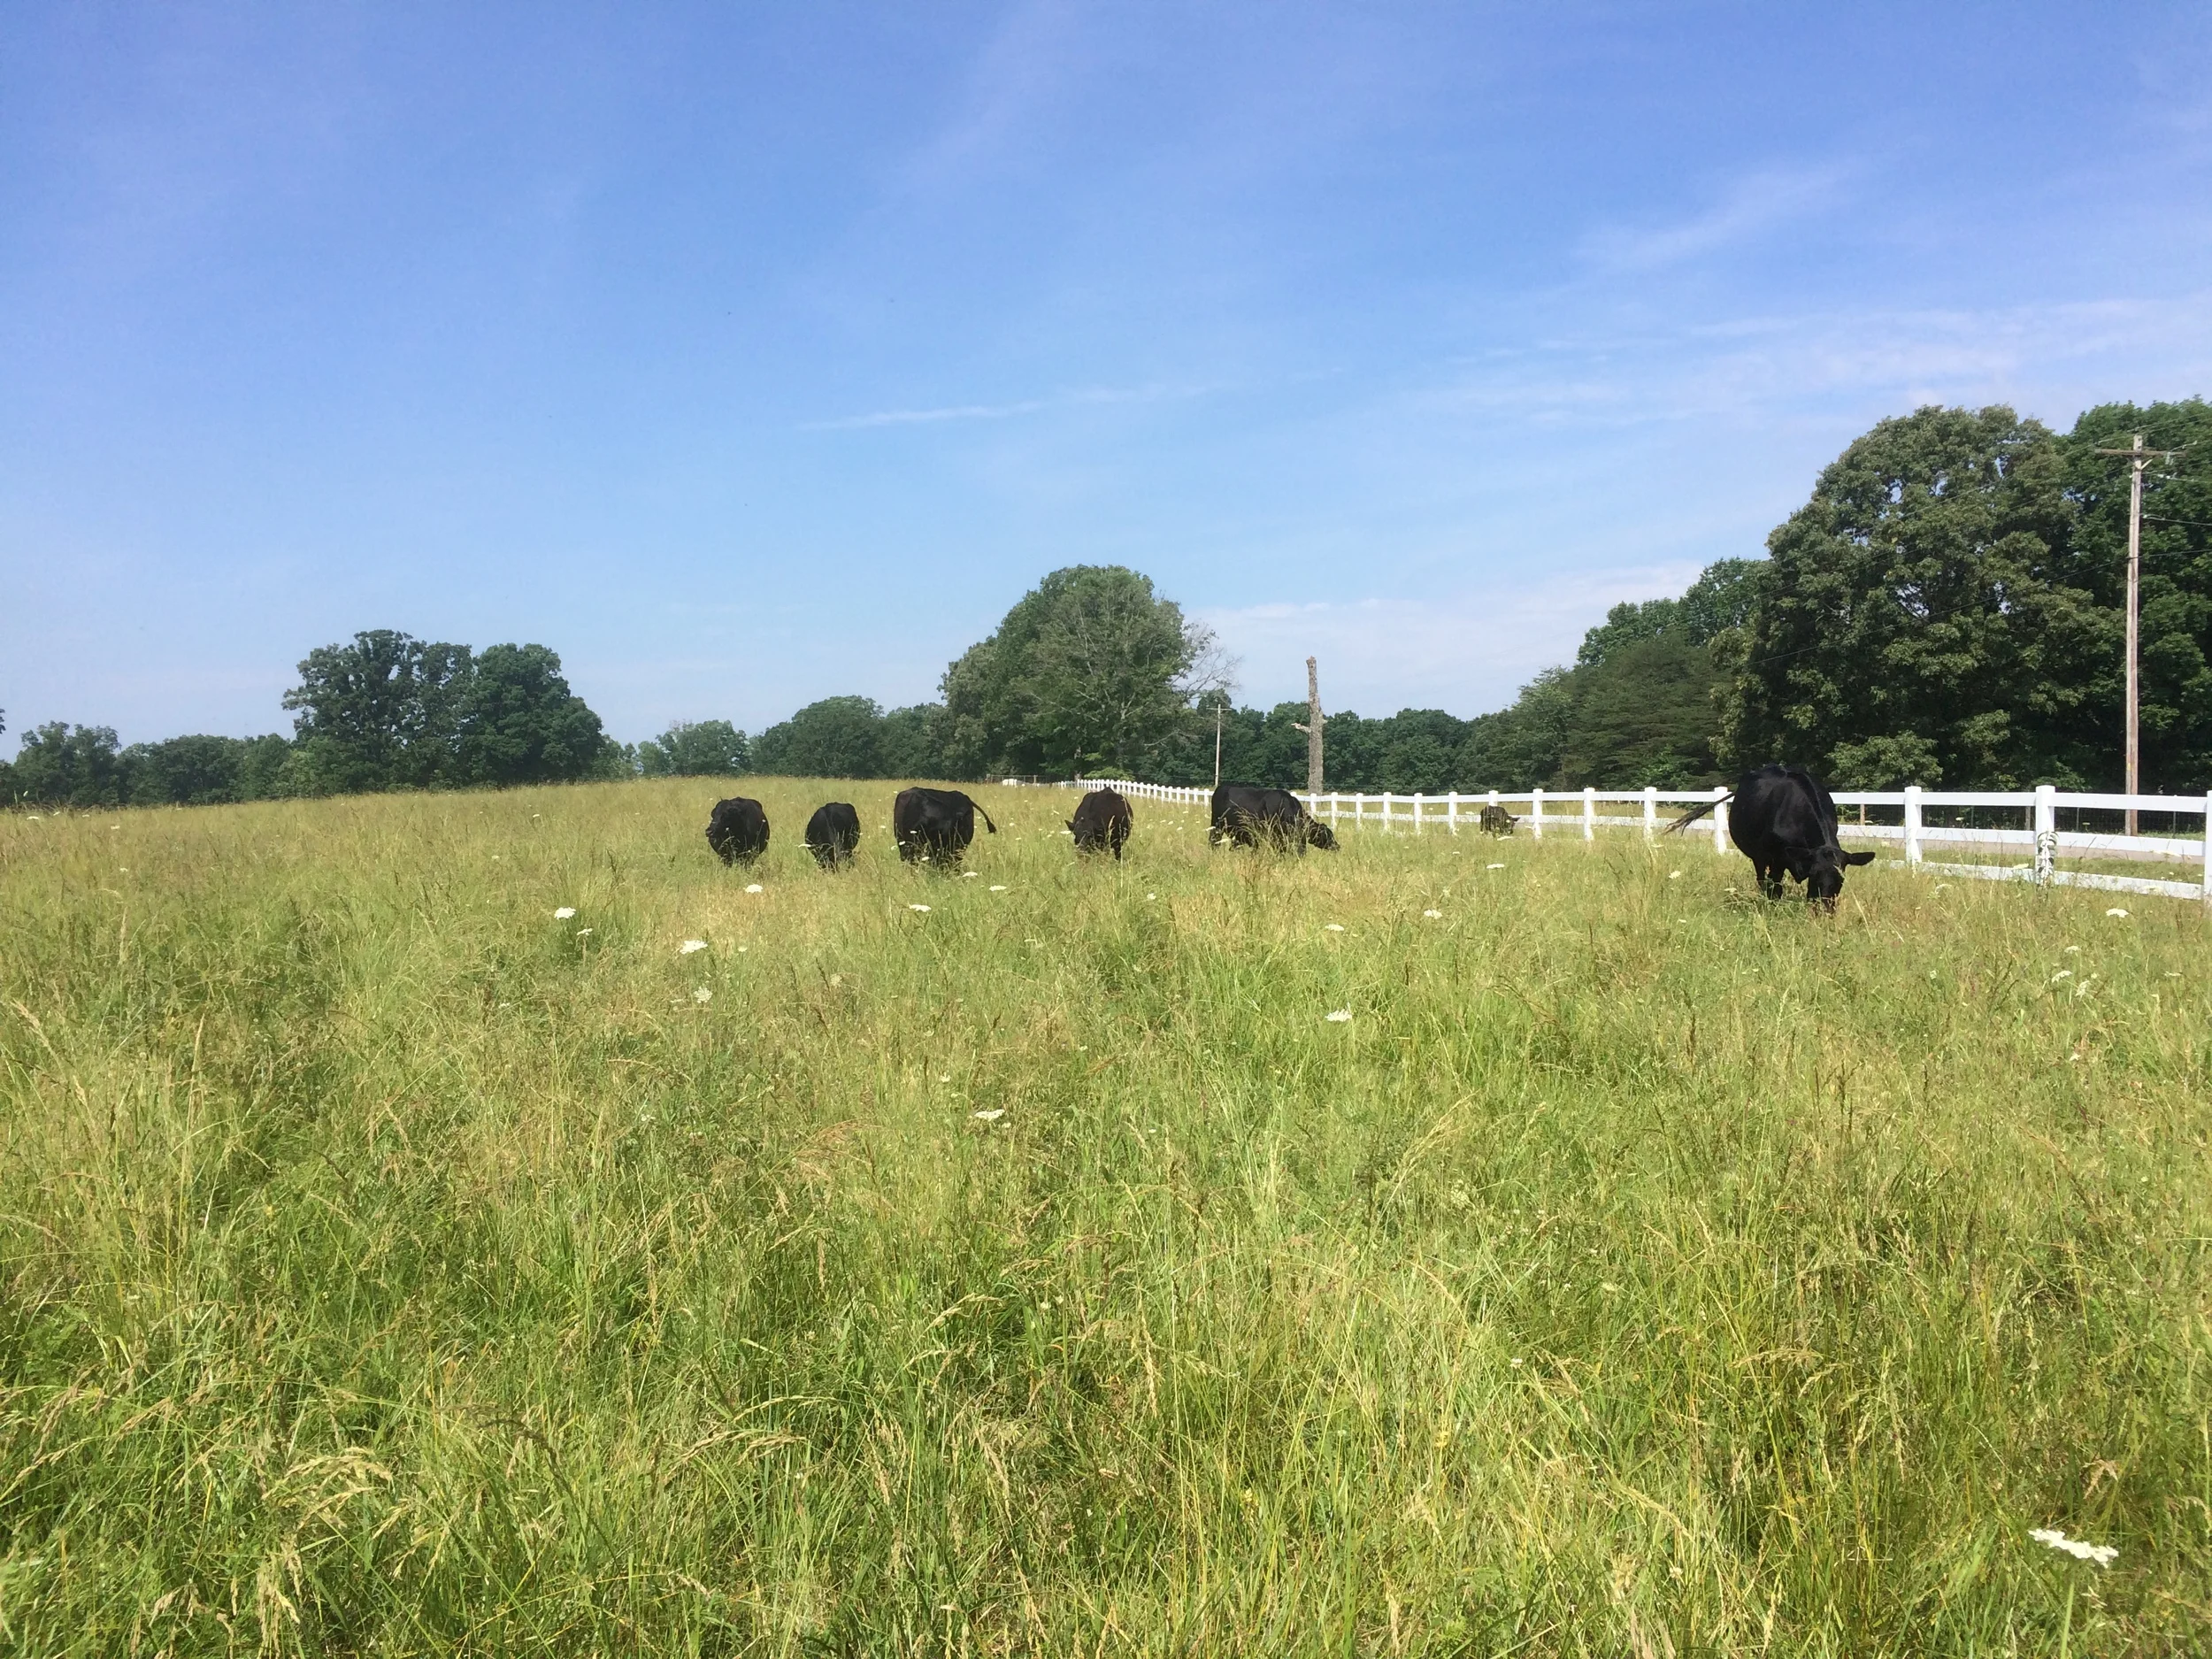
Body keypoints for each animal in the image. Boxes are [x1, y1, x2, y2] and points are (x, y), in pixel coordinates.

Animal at [1209, 784, 1338, 853]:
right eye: (1327, 835)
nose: (1337, 846)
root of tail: (1223, 787)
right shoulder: (1274, 837)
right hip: (1216, 826)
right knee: (1213, 842)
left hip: (1238, 833)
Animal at [1668, 765, 1875, 906]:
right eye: (1814, 875)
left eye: (1841, 878)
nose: (1825, 908)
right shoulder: (1776, 859)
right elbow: (1775, 888)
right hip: (1758, 856)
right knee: (1762, 880)